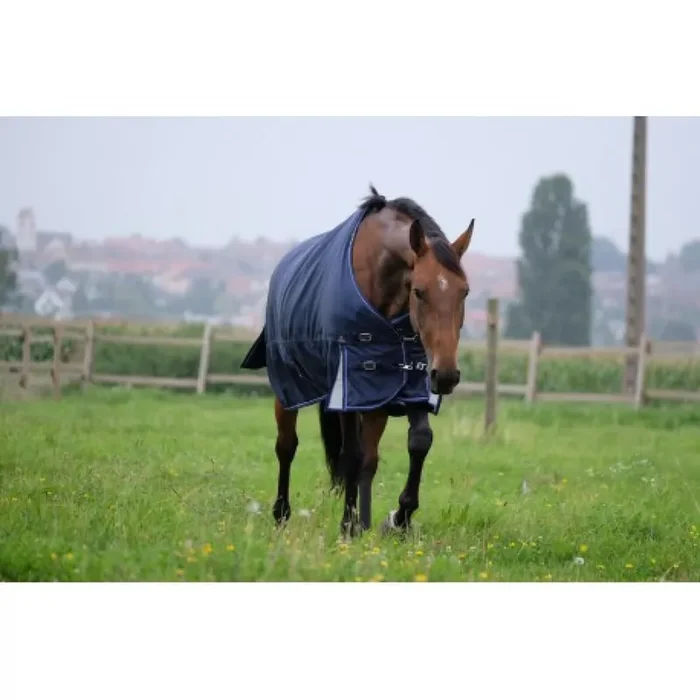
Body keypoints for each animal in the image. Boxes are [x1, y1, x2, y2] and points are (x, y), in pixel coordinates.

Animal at [240, 185, 474, 537]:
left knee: (370, 458)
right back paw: (282, 514)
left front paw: (398, 519)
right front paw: (347, 526)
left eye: (465, 292)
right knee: (287, 445)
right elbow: (350, 455)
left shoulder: (411, 381)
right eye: (419, 291)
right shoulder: (348, 385)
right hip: (288, 387)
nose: (446, 375)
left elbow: (418, 442)